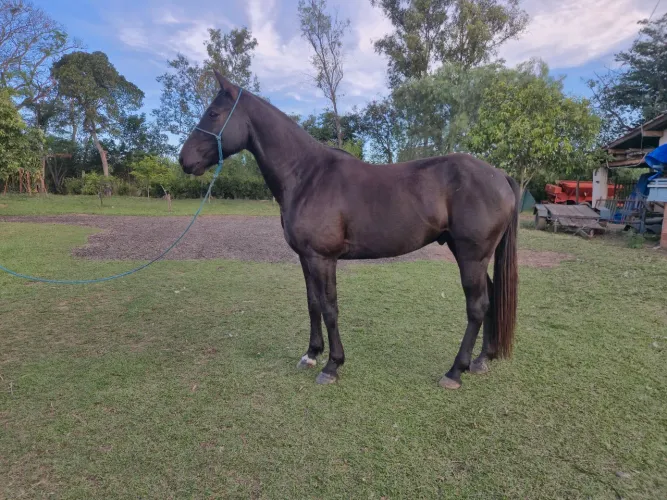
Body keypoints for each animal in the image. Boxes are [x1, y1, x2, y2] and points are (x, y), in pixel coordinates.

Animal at [179, 71, 520, 390]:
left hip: (471, 256)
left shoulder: (323, 258)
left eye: (213, 113)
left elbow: (330, 308)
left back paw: (455, 371)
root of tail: (499, 175)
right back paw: (481, 360)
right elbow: (313, 303)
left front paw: (332, 365)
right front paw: (312, 354)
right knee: (489, 299)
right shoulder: (306, 258)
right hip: (473, 256)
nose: (184, 160)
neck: (307, 176)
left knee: (476, 306)